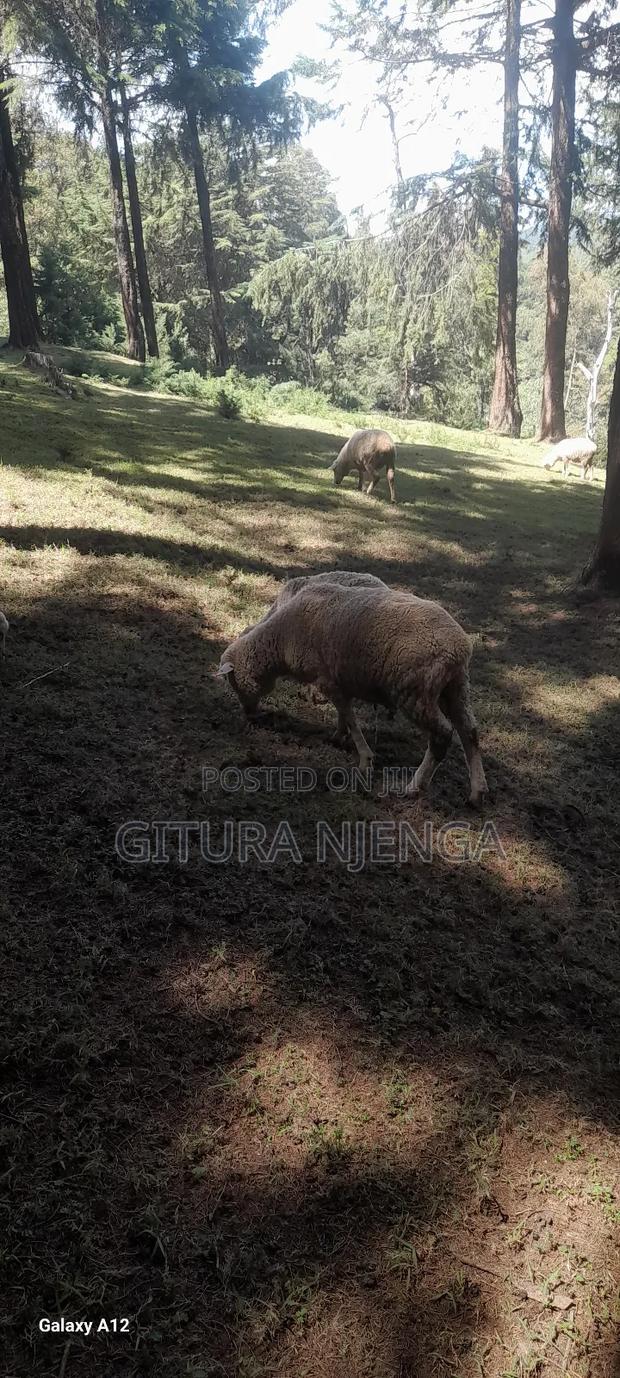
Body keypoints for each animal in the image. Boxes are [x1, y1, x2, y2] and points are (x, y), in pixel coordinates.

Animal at [217, 582, 488, 806]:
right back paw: (477, 792)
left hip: (414, 692)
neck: (280, 640)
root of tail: (459, 647)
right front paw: (339, 736)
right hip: (455, 688)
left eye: (233, 682)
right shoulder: (339, 680)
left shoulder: (326, 680)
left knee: (443, 734)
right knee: (469, 731)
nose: (249, 716)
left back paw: (414, 786)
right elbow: (343, 715)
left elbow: (349, 716)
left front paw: (364, 758)